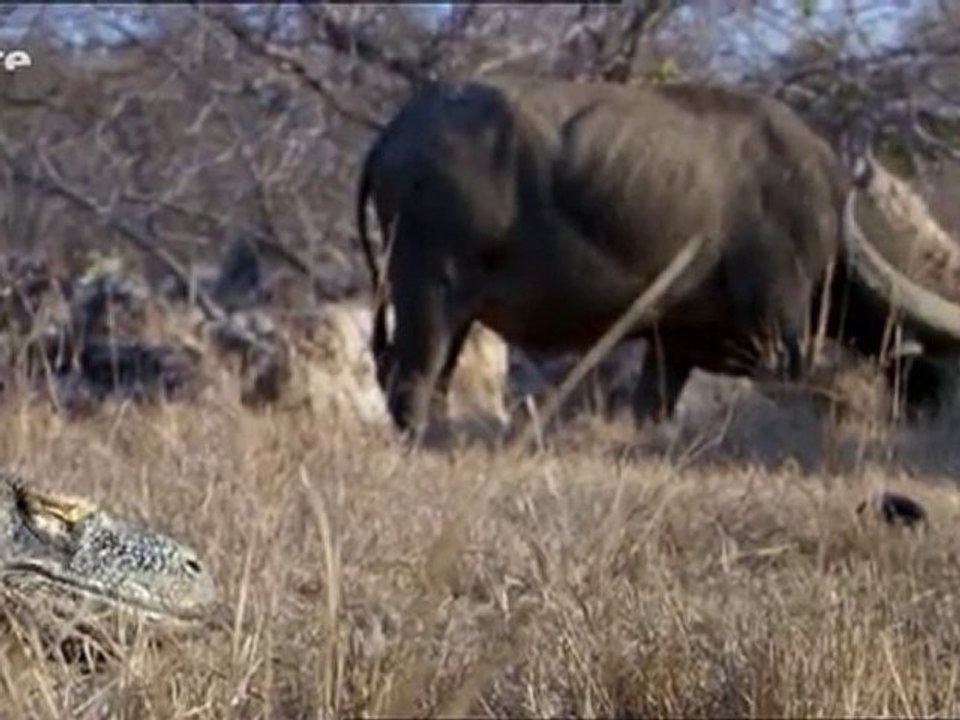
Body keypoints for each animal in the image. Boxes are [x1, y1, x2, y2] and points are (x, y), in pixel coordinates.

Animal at [356, 75, 960, 439]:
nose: (936, 415)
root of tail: (394, 135)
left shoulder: (673, 346)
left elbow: (652, 406)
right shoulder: (781, 328)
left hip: (450, 312)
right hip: (430, 296)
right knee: (413, 380)